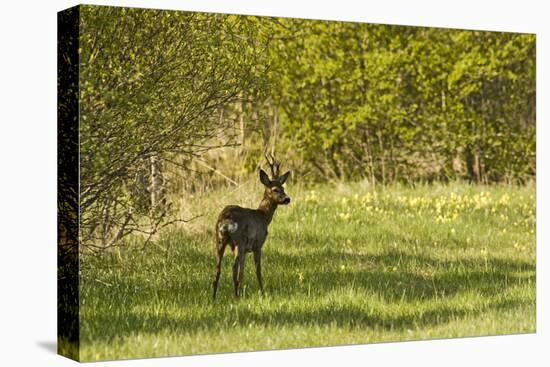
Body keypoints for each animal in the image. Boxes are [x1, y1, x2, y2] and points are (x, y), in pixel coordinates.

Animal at [213, 154, 294, 300]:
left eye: (283, 188)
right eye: (275, 189)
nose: (287, 199)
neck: (263, 216)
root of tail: (226, 222)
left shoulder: (246, 250)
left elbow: (243, 270)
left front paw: (242, 290)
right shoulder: (258, 244)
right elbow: (258, 270)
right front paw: (262, 292)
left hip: (220, 240)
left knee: (218, 268)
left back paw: (215, 297)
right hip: (239, 241)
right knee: (233, 267)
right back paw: (235, 296)